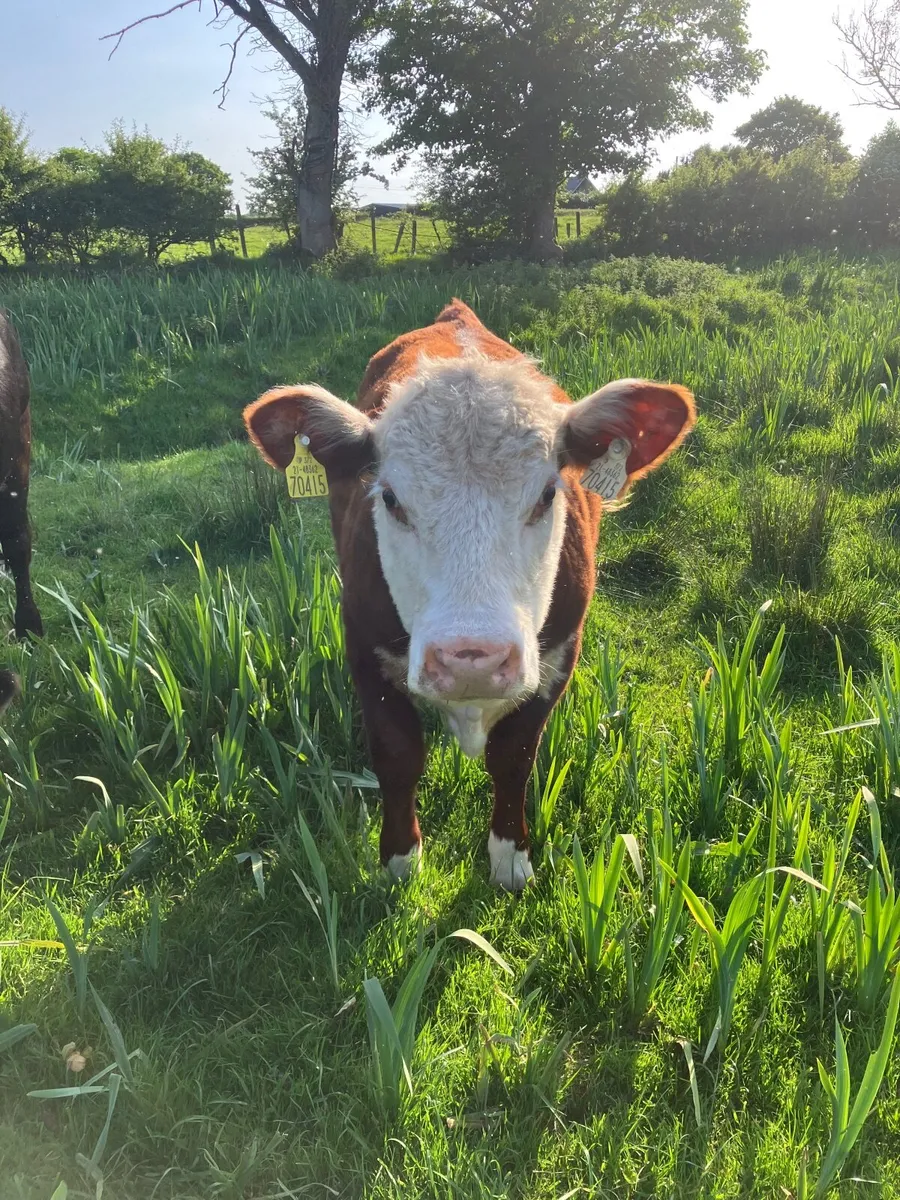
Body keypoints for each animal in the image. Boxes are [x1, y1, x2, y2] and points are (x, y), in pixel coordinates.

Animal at [244, 300, 694, 890]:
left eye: (547, 494)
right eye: (390, 499)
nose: (470, 659)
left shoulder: (559, 653)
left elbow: (514, 757)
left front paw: (509, 857)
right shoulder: (361, 642)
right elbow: (398, 754)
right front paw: (400, 858)